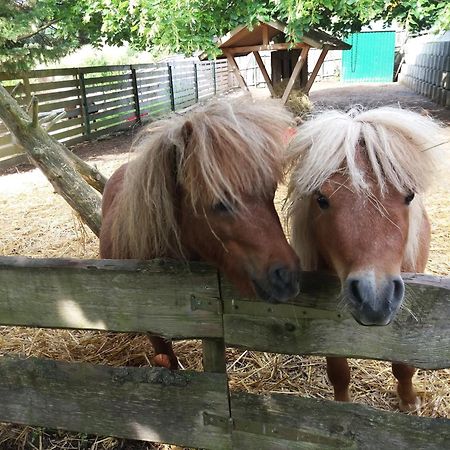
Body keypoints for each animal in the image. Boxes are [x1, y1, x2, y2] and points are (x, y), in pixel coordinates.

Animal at [286, 106, 442, 412]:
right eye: (321, 198)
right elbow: (338, 370)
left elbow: (404, 365)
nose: (375, 299)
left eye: (409, 195)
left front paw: (409, 403)